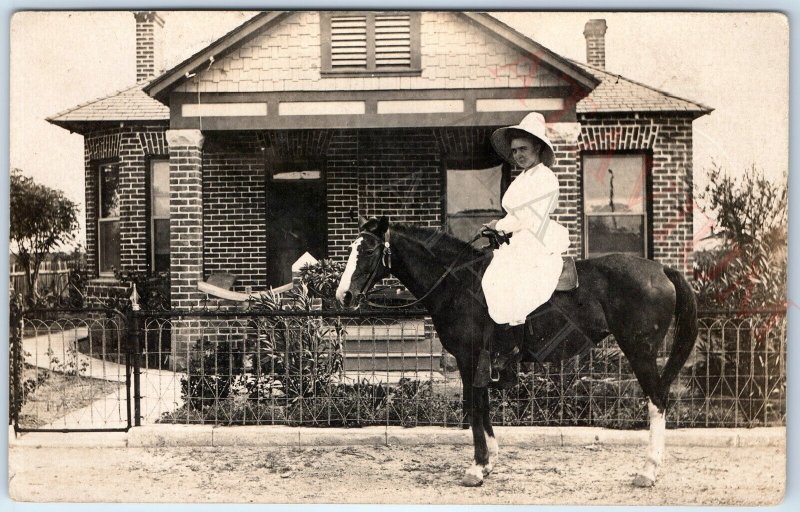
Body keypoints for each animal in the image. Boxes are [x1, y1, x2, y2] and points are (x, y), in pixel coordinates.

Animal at [334, 217, 696, 488]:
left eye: (368, 249)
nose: (344, 296)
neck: (458, 282)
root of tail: (661, 270)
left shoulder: (469, 358)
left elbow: (474, 407)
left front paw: (477, 468)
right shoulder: (478, 361)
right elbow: (483, 407)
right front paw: (489, 462)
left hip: (640, 352)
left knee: (657, 401)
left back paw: (648, 471)